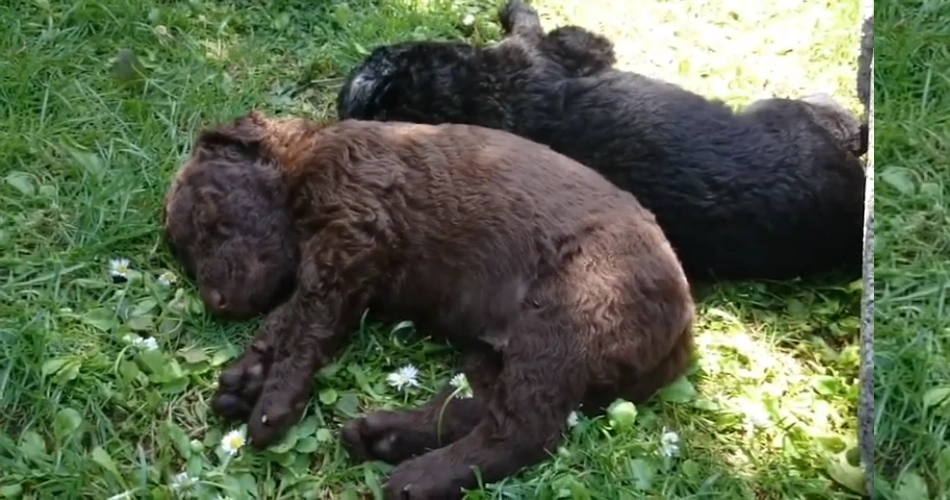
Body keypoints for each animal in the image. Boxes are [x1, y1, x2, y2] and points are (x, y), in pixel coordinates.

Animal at [164, 111, 696, 498]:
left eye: (210, 217)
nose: (216, 303)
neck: (311, 154)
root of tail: (684, 335)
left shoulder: (353, 240)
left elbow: (305, 324)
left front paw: (272, 404)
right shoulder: (344, 266)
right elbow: (287, 316)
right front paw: (246, 376)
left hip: (566, 316)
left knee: (526, 430)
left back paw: (415, 480)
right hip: (513, 346)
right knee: (478, 405)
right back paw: (383, 436)